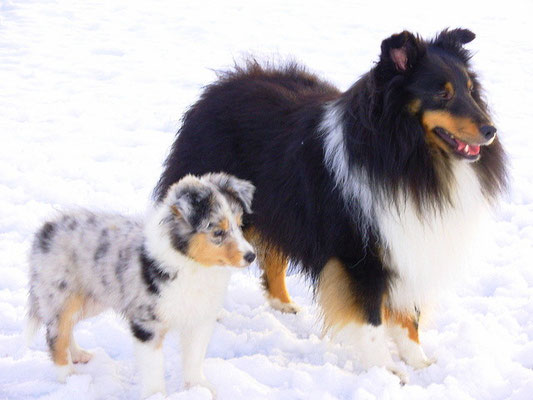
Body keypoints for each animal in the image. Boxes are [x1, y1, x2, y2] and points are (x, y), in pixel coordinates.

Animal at [27, 173, 256, 398]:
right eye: (217, 232)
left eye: (240, 225)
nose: (251, 256)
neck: (192, 264)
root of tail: (45, 229)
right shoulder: (147, 323)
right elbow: (153, 366)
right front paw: (156, 395)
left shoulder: (200, 318)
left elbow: (194, 357)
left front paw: (199, 388)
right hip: (61, 295)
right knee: (56, 334)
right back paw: (69, 378)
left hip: (91, 299)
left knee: (68, 327)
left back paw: (77, 354)